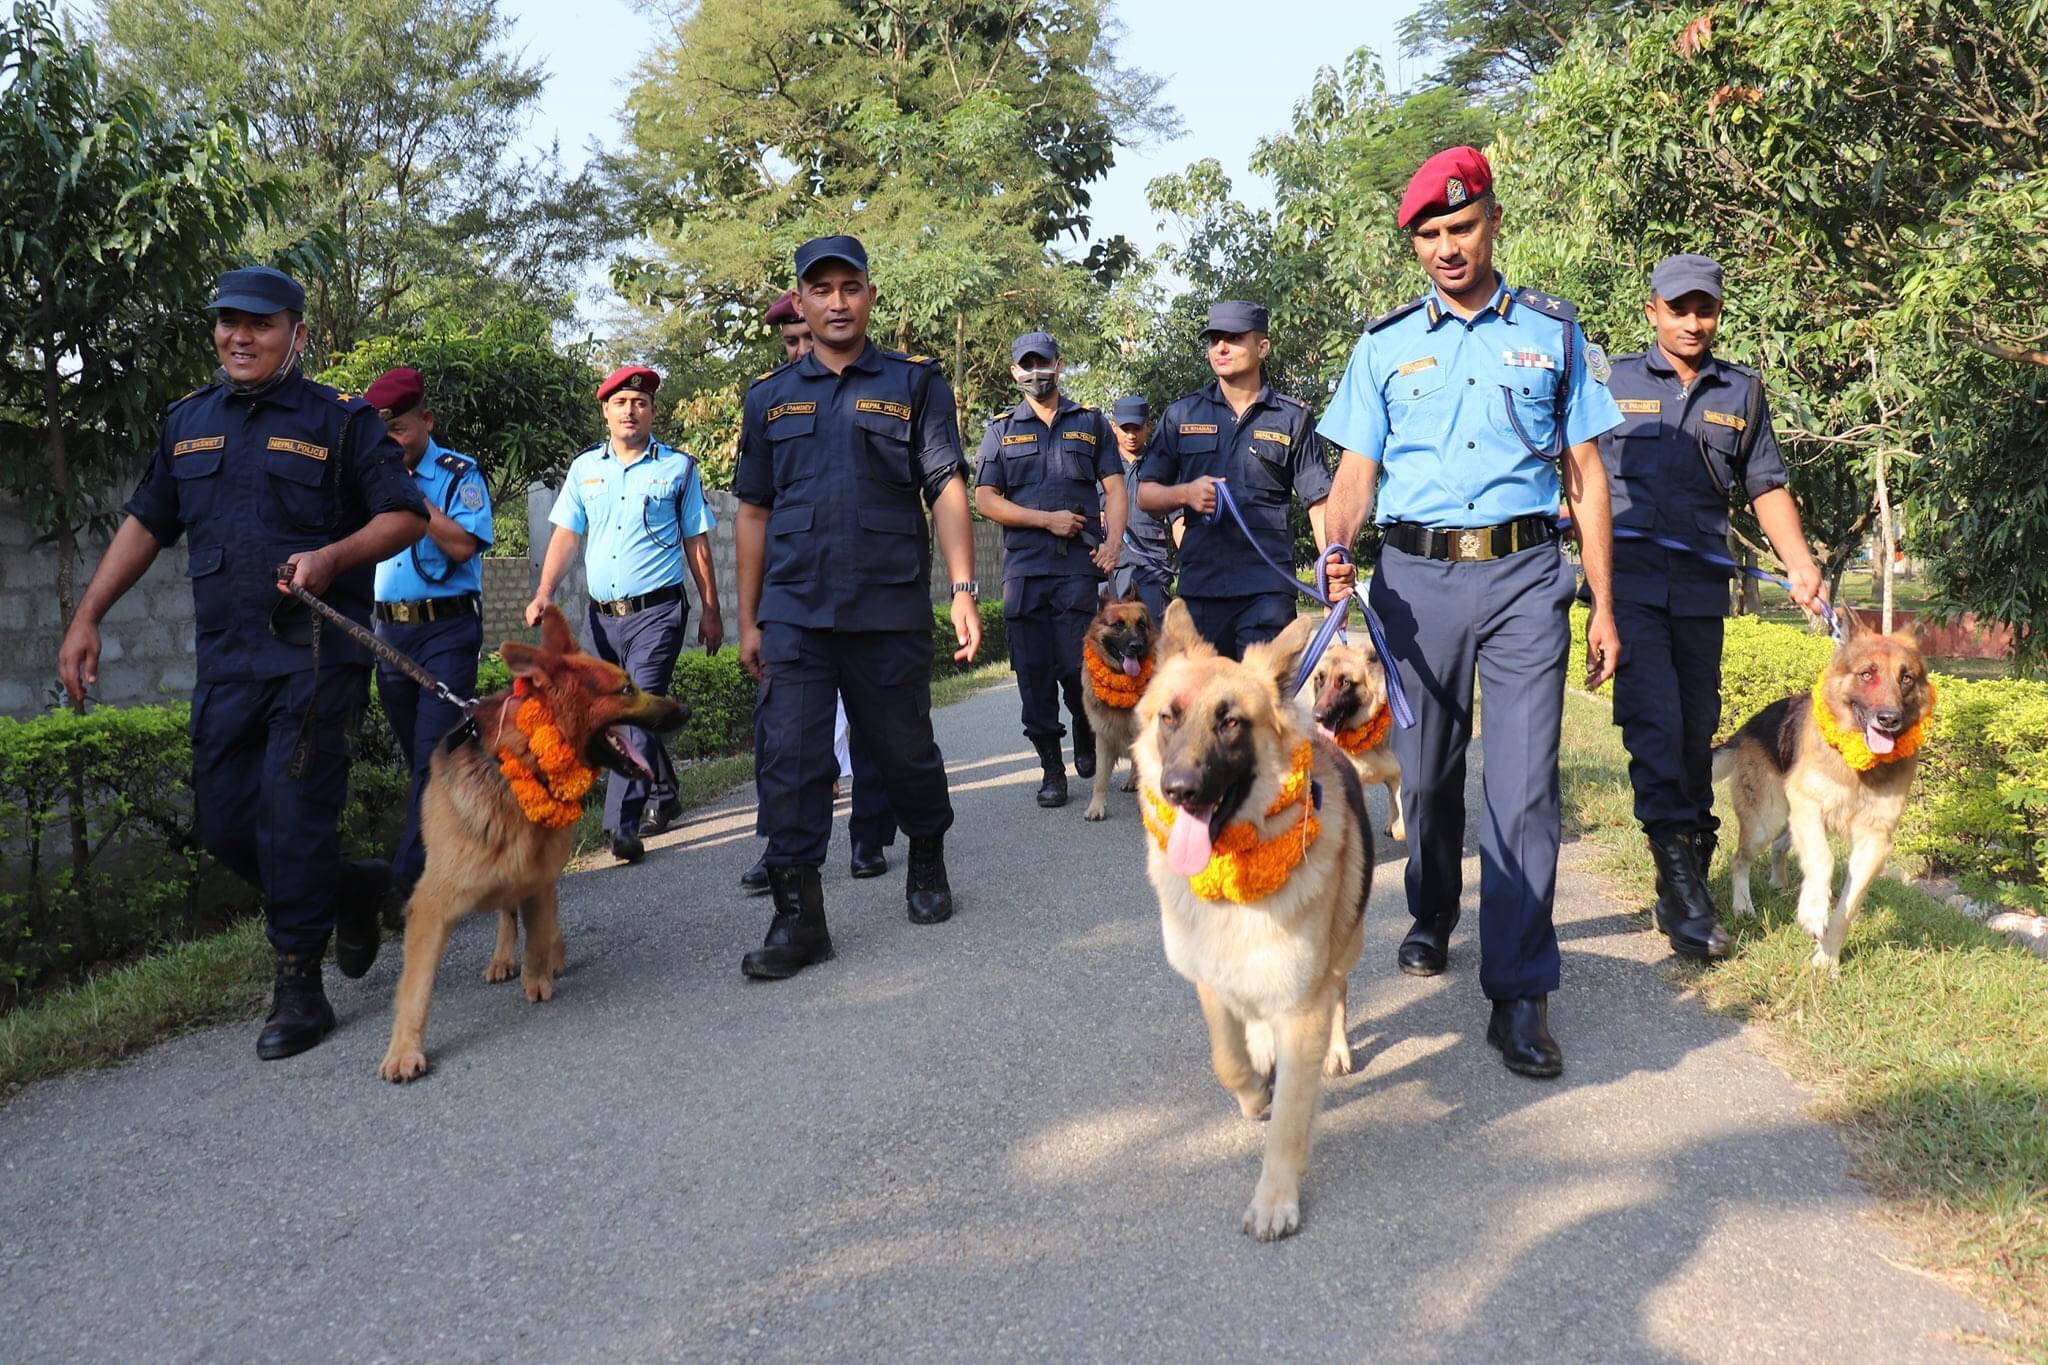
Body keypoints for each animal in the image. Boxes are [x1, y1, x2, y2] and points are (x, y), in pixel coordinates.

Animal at [387, 601, 692, 1080]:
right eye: (625, 689)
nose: (686, 710)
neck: (523, 759)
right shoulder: (431, 905)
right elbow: (416, 987)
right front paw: (403, 1049)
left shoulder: (539, 871)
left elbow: (539, 922)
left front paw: (538, 974)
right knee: (507, 913)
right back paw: (503, 957)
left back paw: (550, 951)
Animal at [1081, 589, 1163, 822]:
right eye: (1118, 625)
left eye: (1141, 624)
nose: (1136, 646)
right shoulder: (1103, 738)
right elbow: (1100, 779)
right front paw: (1096, 808)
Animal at [1130, 601, 1368, 1244]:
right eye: (1169, 717)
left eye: (1231, 723)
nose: (1179, 790)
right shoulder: (1211, 980)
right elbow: (1227, 1057)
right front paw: (1252, 1091)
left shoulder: (1302, 1009)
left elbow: (1289, 1117)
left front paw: (1275, 1199)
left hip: (1343, 950)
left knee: (1340, 989)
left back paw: (1336, 1048)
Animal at [1310, 642, 1409, 843]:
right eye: (1319, 680)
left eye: (1345, 682)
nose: (1317, 716)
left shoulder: (1401, 775)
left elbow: (1403, 824)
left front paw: (1398, 828)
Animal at [1712, 618, 1933, 970]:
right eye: (1866, 674)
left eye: (1906, 678)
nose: (1889, 719)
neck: (1857, 768)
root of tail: (1748, 726)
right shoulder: (1809, 807)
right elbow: (1823, 858)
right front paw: (1814, 912)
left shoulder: (1875, 841)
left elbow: (1848, 908)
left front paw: (1826, 959)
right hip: (1767, 818)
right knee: (1740, 859)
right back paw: (1743, 905)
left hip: (1788, 821)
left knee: (1779, 847)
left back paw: (1780, 883)